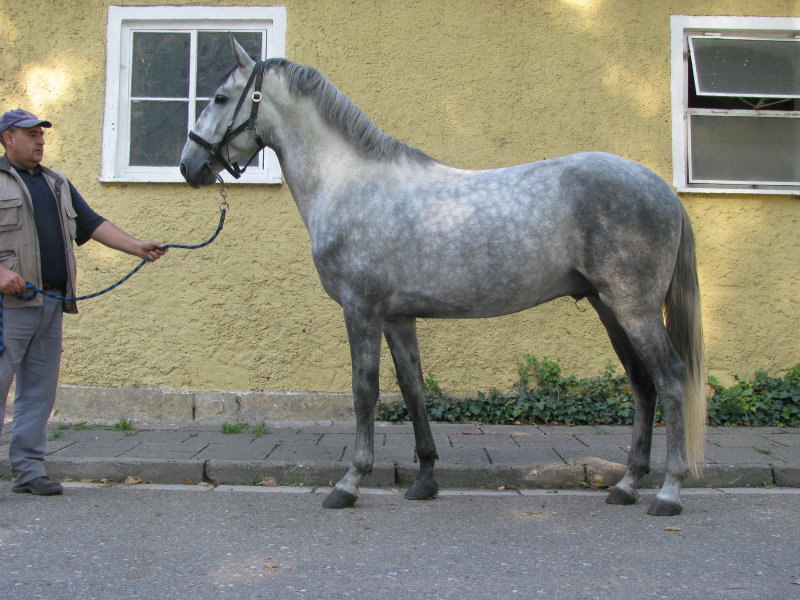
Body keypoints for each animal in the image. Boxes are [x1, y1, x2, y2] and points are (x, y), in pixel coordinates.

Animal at [181, 38, 708, 516]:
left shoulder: (361, 309)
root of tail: (661, 188)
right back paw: (626, 484)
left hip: (634, 309)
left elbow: (364, 390)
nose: (189, 166)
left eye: (221, 98)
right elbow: (413, 388)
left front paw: (350, 483)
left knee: (670, 377)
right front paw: (426, 479)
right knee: (642, 384)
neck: (350, 183)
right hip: (609, 306)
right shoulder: (397, 318)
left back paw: (668, 492)